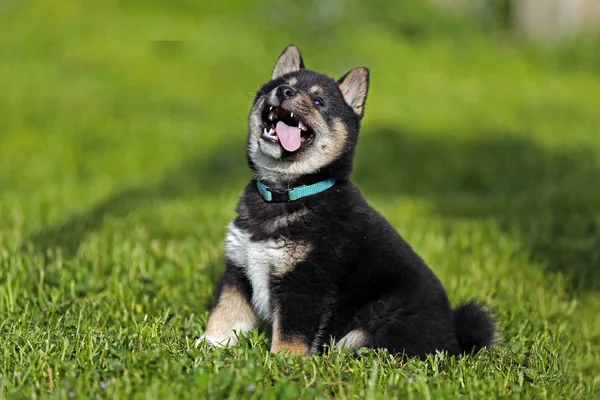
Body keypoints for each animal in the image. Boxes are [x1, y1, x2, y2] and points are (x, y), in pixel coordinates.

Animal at [197, 45, 496, 358]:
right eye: (282, 84)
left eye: (318, 101)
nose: (283, 91)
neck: (289, 192)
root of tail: (455, 342)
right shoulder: (240, 266)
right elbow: (225, 313)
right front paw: (208, 345)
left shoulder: (306, 282)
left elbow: (291, 334)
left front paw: (283, 362)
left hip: (374, 324)